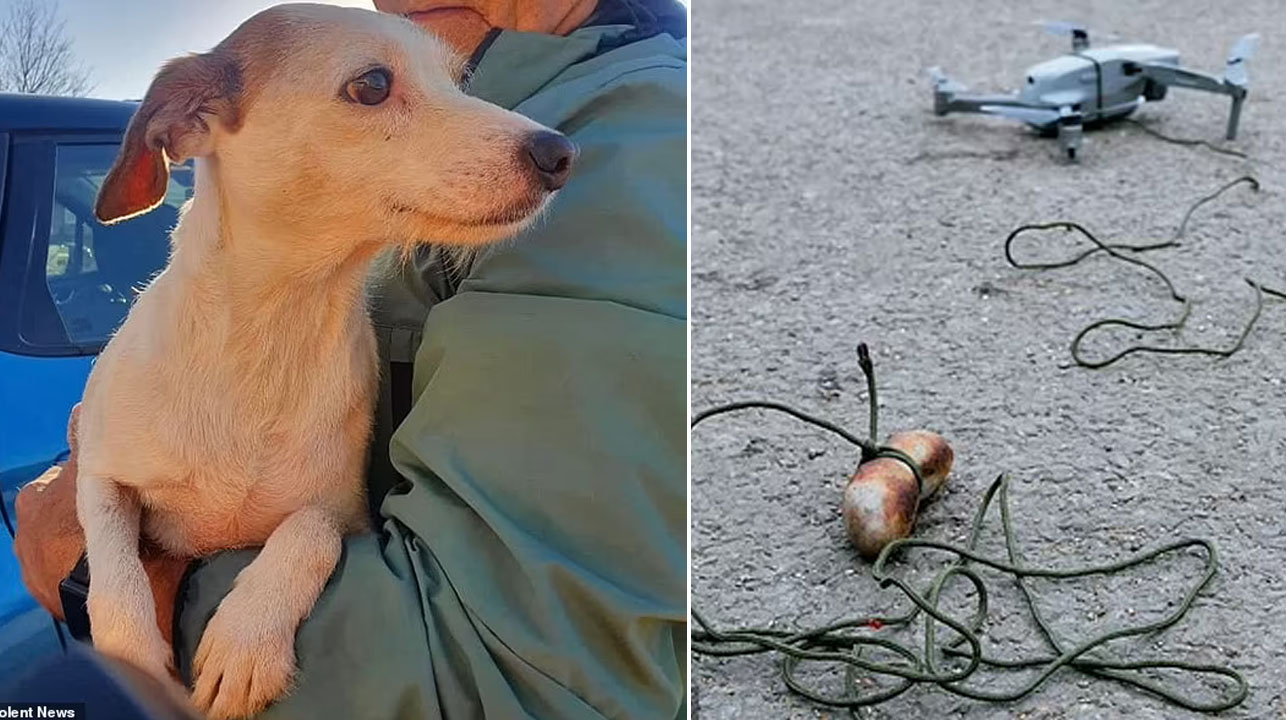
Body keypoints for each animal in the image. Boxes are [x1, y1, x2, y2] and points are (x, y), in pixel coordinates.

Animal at [73, 2, 568, 714]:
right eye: (372, 85)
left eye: (458, 82)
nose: (561, 152)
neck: (275, 328)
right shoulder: (97, 474)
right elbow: (116, 574)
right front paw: (134, 657)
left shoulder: (347, 515)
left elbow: (309, 531)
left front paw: (246, 636)